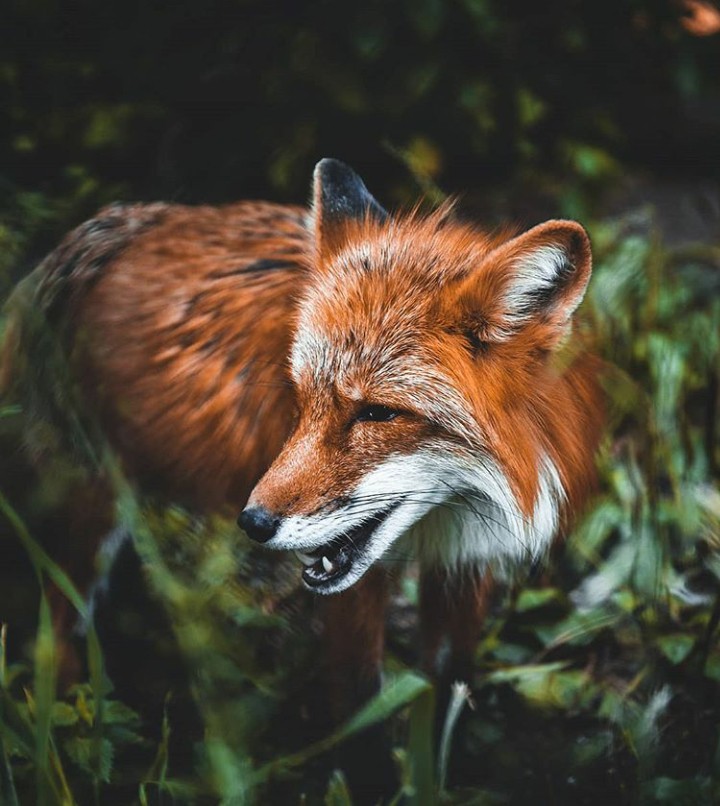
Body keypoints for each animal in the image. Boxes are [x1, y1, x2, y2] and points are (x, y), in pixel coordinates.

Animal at [0, 158, 604, 745]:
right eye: (301, 398)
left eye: (377, 413)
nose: (253, 523)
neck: (448, 512)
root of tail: (127, 222)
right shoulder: (356, 595)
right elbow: (359, 713)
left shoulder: (466, 564)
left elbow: (444, 690)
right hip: (92, 513)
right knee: (55, 635)